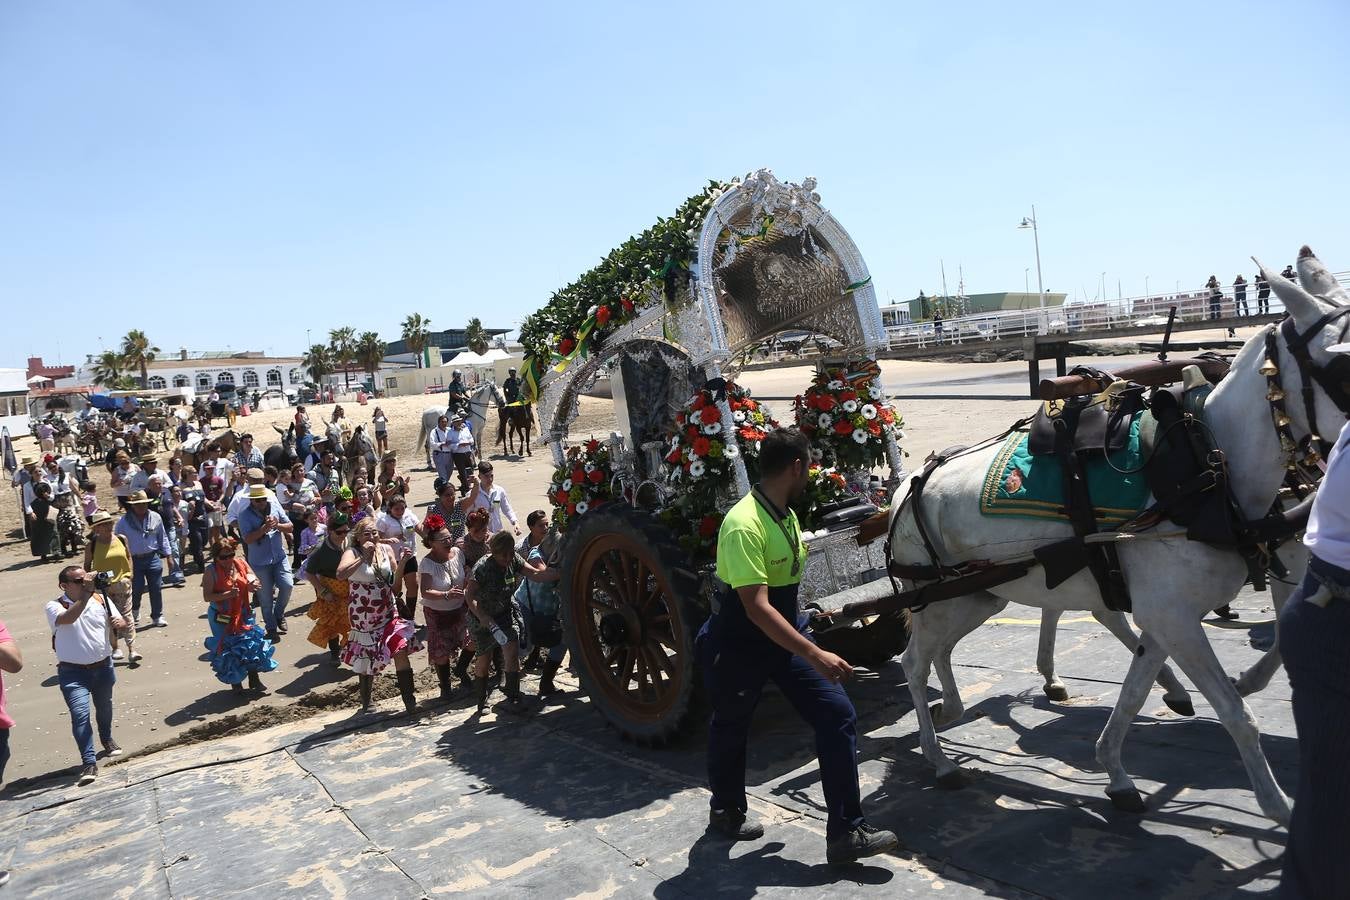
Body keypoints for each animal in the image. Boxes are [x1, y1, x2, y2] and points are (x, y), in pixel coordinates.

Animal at [891, 249, 1344, 825]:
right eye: (1341, 362)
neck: (1204, 469)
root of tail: (909, 484)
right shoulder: (1176, 615)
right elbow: (1236, 711)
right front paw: (1278, 807)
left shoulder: (1167, 616)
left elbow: (1135, 688)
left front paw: (1117, 771)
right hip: (943, 599)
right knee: (913, 661)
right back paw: (940, 758)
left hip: (979, 595)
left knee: (944, 651)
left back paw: (951, 707)